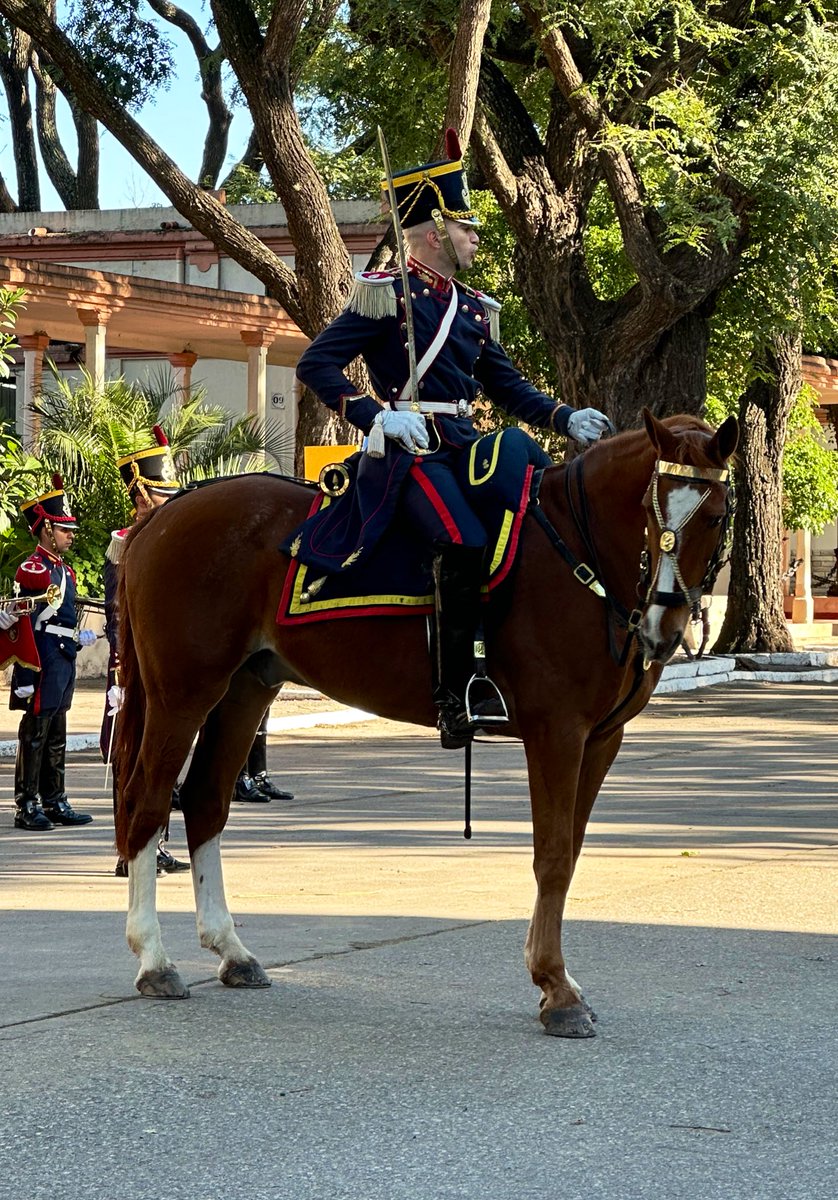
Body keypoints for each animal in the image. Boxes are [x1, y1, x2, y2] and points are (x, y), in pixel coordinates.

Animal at [114, 408, 734, 1036]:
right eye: (651, 510)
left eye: (715, 515)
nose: (663, 626)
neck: (582, 553)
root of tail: (164, 513)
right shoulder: (557, 733)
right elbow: (554, 856)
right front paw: (557, 990)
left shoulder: (603, 738)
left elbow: (572, 851)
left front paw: (554, 980)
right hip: (183, 693)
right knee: (148, 801)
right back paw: (154, 961)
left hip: (246, 690)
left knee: (204, 801)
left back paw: (231, 951)